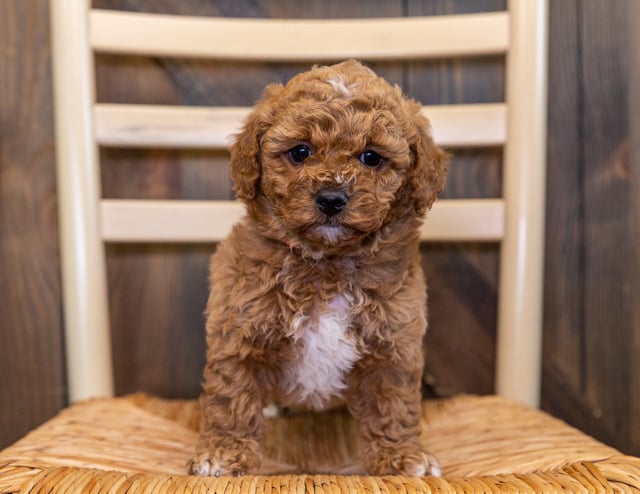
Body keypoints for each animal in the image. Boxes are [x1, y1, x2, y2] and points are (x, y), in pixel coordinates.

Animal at [190, 59, 448, 476]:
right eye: (300, 151)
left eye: (371, 157)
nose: (330, 198)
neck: (326, 264)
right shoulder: (240, 331)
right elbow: (233, 397)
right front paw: (223, 451)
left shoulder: (394, 343)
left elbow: (393, 404)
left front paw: (401, 456)